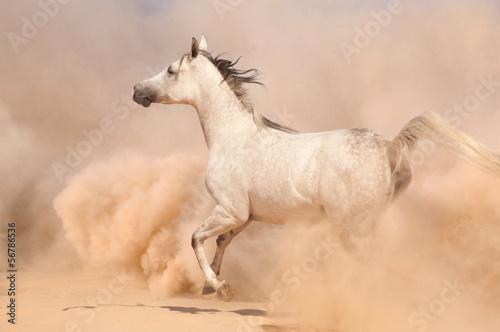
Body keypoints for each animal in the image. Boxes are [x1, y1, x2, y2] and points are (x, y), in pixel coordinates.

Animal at [132, 35, 500, 302]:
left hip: (353, 229)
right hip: (369, 224)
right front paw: (214, 285)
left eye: (170, 70)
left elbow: (196, 238)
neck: (234, 137)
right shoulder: (246, 216)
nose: (137, 90)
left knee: (374, 267)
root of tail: (389, 145)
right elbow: (222, 241)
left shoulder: (228, 209)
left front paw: (219, 286)